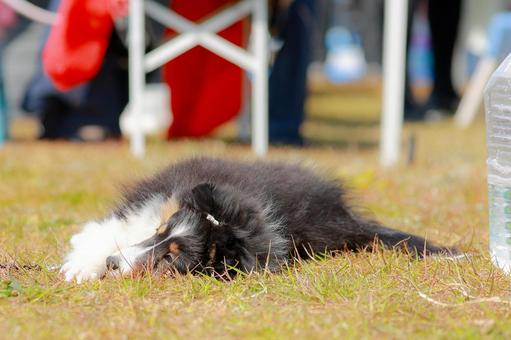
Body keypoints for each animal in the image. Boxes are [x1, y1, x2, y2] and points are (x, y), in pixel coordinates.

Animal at [60, 158, 456, 282]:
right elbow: (111, 228)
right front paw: (81, 265)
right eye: (160, 231)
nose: (113, 263)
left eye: (171, 259)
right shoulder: (149, 203)